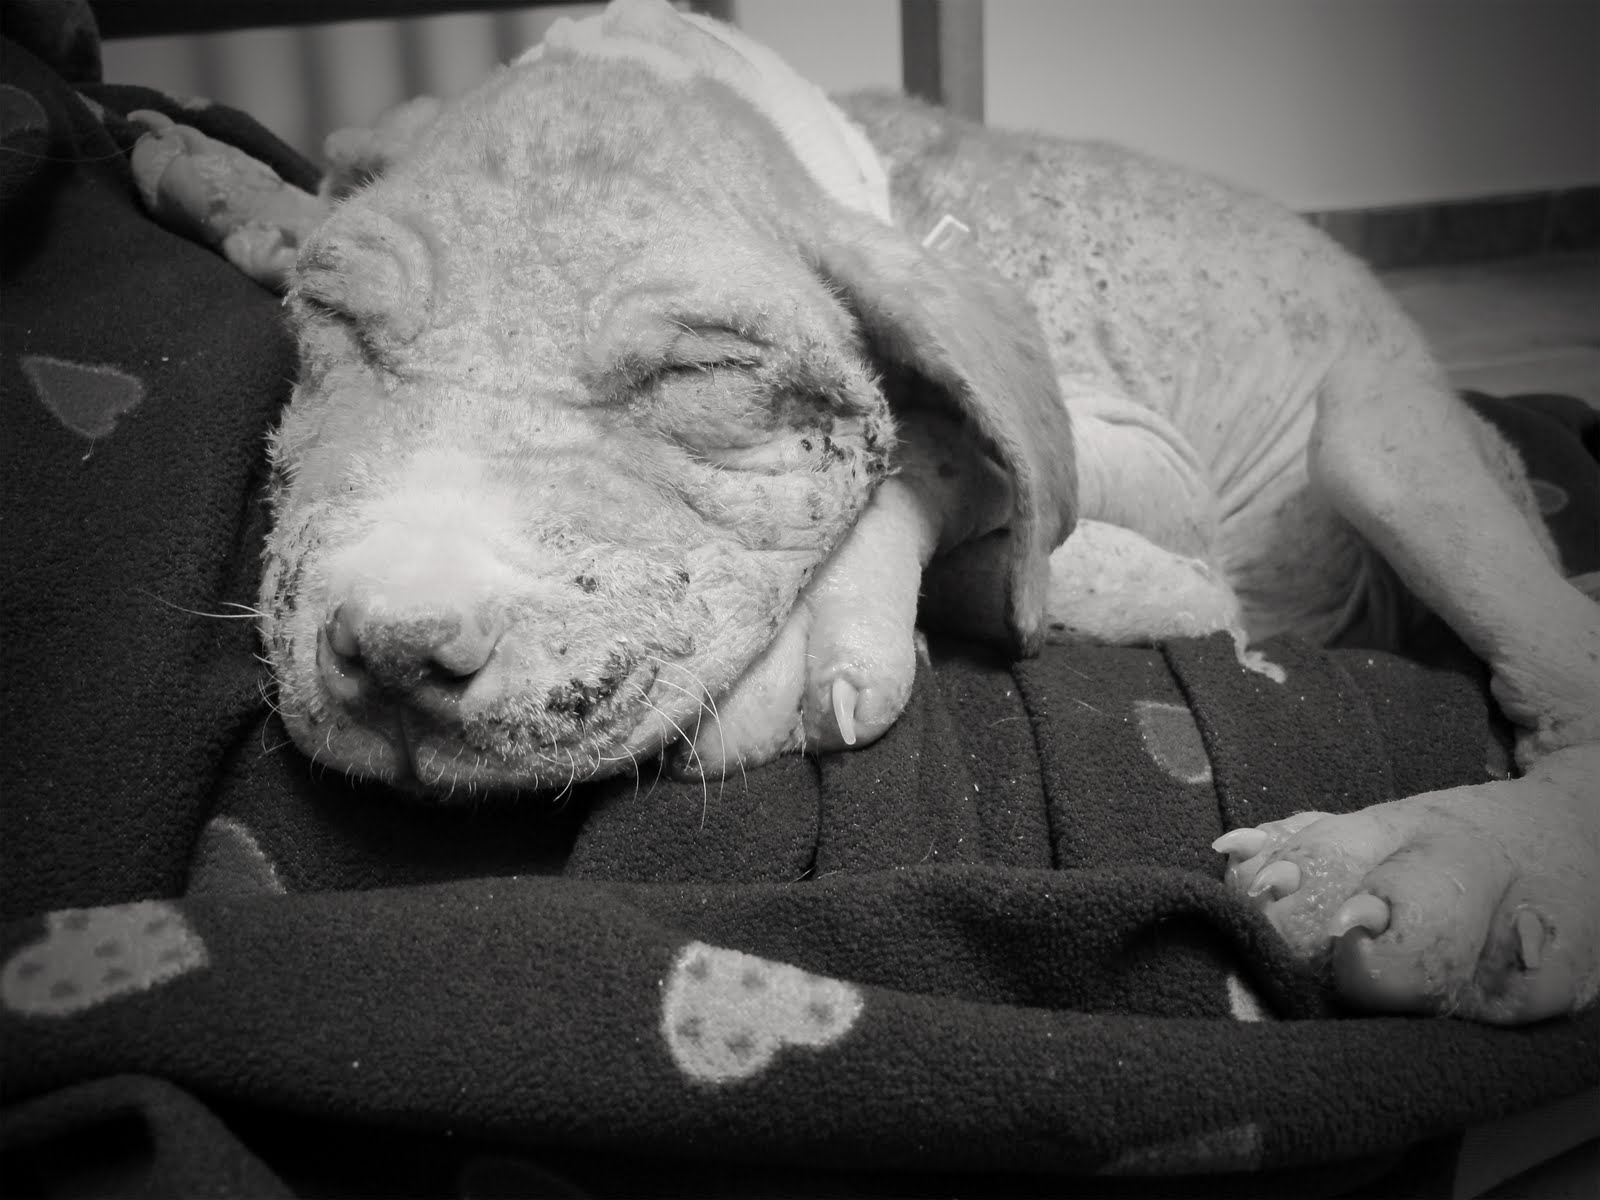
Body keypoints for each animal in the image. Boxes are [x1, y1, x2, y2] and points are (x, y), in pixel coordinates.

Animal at [133, 0, 1597, 1024]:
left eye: (700, 375)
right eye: (335, 326)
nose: (393, 649)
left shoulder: (1150, 462)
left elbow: (941, 450)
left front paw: (837, 638)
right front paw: (231, 183)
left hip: (1379, 438)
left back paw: (1427, 867)